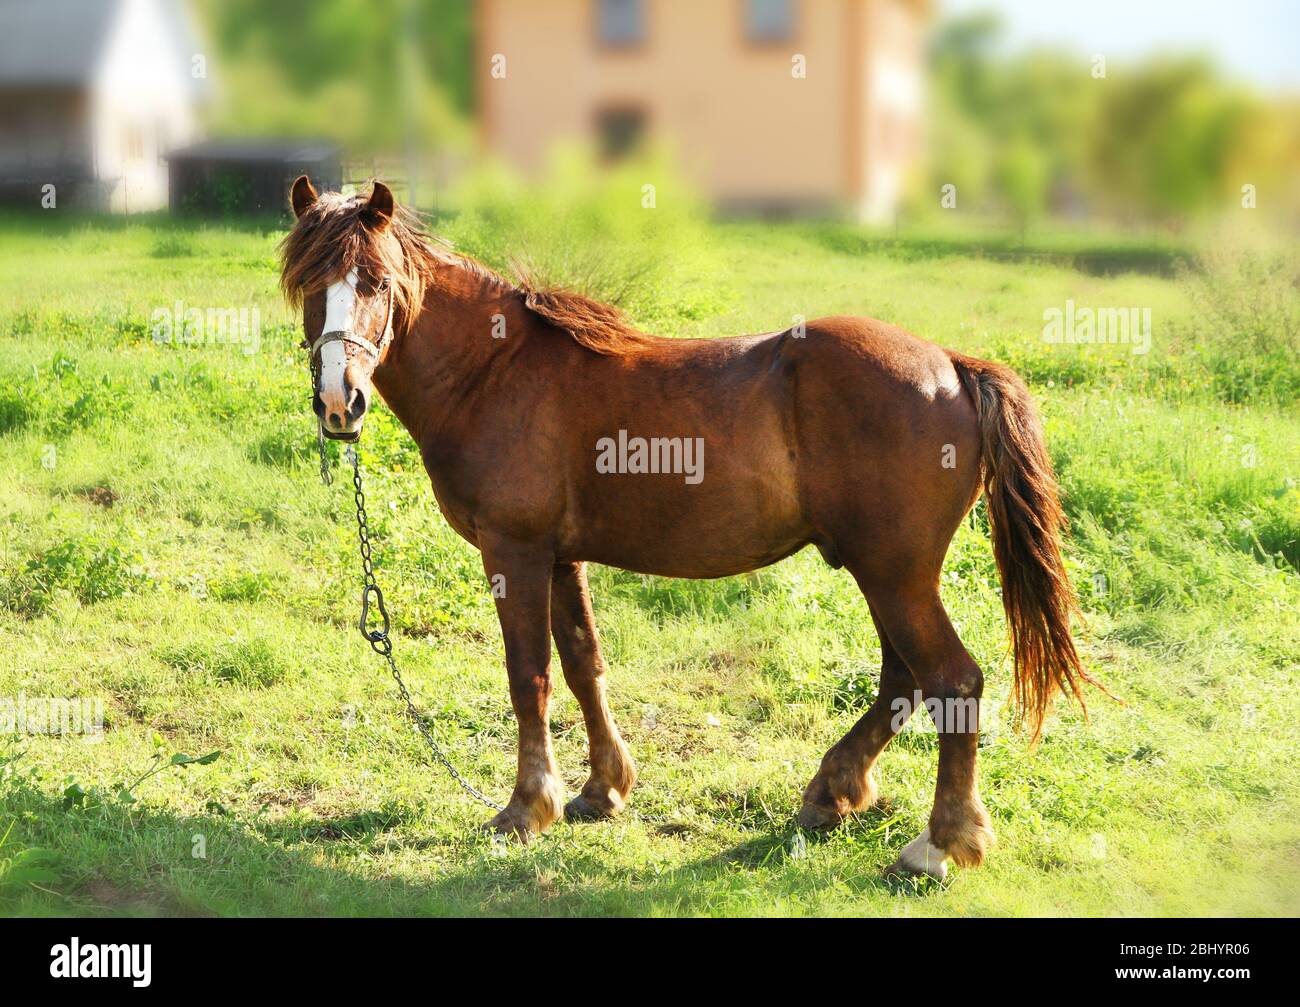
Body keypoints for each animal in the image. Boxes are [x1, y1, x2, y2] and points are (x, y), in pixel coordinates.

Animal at [280, 177, 1099, 879]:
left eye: (377, 283)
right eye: (309, 286)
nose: (340, 403)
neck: (494, 370)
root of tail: (953, 366)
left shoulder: (516, 551)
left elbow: (529, 675)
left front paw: (525, 808)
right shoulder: (562, 558)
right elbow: (583, 663)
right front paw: (602, 788)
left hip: (895, 573)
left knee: (951, 680)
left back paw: (938, 843)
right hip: (888, 573)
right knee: (903, 679)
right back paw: (832, 791)